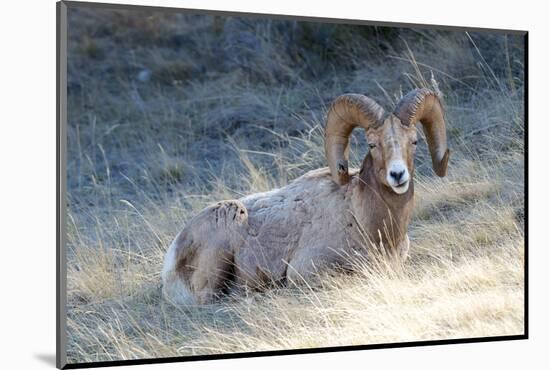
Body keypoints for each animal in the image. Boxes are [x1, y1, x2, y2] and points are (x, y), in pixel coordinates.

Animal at [162, 88, 450, 304]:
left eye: (414, 141)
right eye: (372, 144)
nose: (398, 175)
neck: (365, 220)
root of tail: (171, 258)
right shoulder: (306, 271)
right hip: (225, 230)